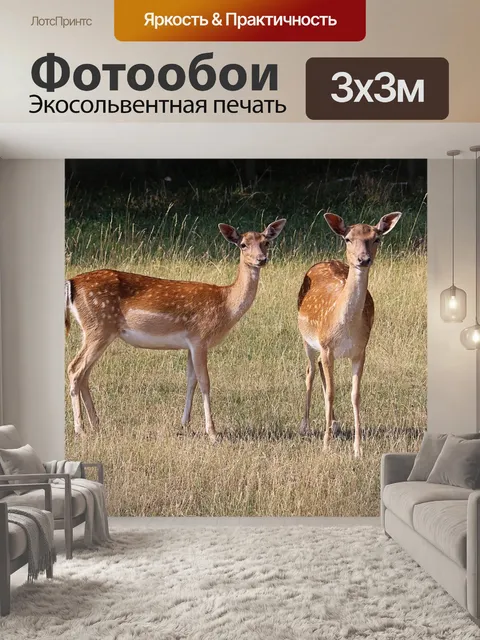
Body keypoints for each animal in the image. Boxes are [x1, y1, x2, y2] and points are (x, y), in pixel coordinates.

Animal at [65, 219, 287, 441]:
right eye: (243, 245)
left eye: (266, 242)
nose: (261, 259)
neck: (226, 304)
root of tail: (71, 283)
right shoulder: (200, 338)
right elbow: (205, 382)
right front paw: (212, 432)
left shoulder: (190, 344)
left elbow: (191, 380)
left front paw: (185, 424)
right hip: (99, 327)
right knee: (75, 369)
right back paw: (80, 429)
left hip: (97, 331)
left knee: (85, 373)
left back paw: (96, 425)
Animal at [297, 211, 402, 458]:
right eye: (348, 239)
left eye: (376, 238)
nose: (363, 259)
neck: (345, 327)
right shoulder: (326, 346)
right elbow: (331, 393)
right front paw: (325, 445)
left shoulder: (360, 351)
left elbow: (355, 395)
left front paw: (358, 448)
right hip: (308, 339)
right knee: (310, 372)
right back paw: (305, 426)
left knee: (319, 370)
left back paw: (335, 425)